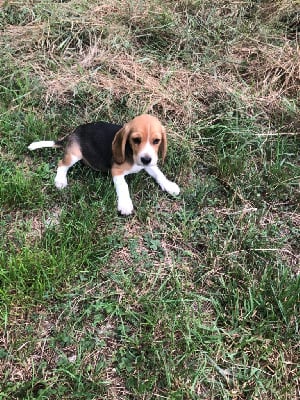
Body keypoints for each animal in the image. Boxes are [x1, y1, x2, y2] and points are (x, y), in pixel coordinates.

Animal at [28, 114, 180, 216]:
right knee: (62, 164)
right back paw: (60, 180)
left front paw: (169, 186)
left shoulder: (149, 164)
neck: (131, 153)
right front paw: (125, 204)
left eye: (156, 141)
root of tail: (74, 132)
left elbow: (159, 174)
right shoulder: (116, 170)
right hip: (74, 154)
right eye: (136, 140)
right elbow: (123, 186)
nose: (146, 159)